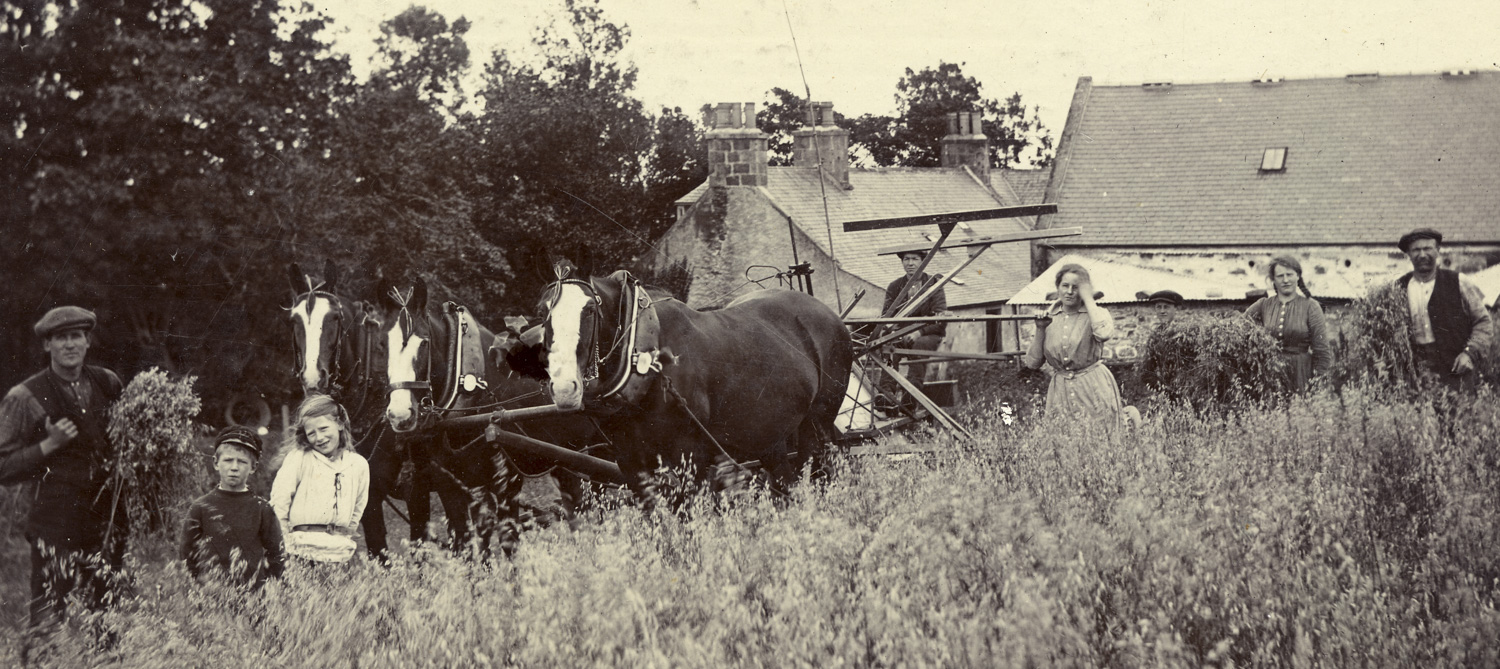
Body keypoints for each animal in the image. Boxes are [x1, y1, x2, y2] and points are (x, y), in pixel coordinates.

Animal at [534, 268, 852, 492]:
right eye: (542, 313)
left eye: (589, 310)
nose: (564, 390)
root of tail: (828, 313)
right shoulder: (631, 462)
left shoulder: (688, 455)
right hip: (770, 433)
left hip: (818, 422)